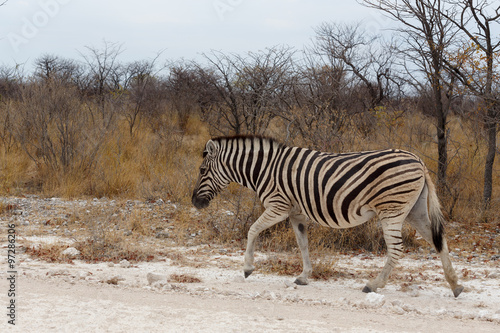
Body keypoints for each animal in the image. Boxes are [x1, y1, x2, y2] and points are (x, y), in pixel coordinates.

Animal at [192, 135, 464, 296]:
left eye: (203, 170)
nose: (194, 202)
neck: (265, 170)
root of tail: (418, 160)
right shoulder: (296, 213)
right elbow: (303, 244)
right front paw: (304, 276)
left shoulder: (279, 206)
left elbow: (253, 230)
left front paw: (248, 268)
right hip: (414, 211)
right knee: (439, 240)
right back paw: (455, 285)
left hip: (392, 210)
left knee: (396, 249)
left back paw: (373, 284)